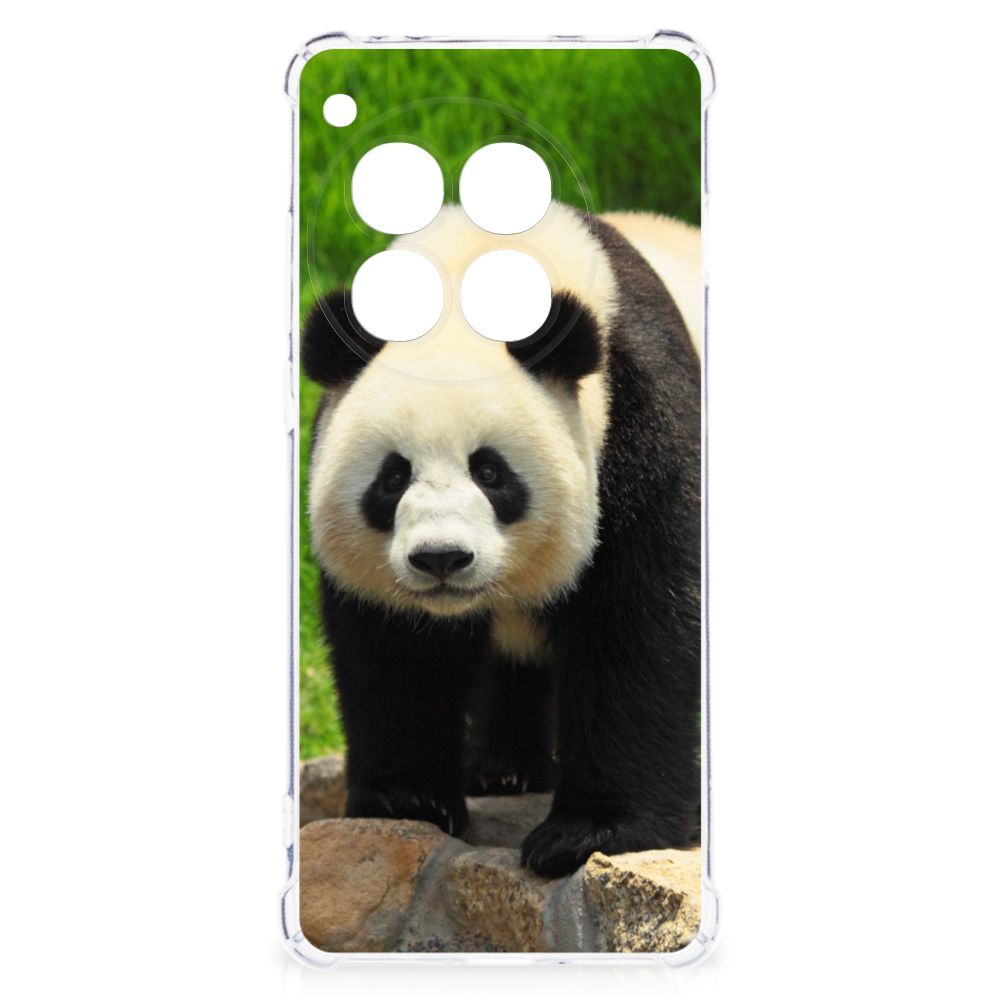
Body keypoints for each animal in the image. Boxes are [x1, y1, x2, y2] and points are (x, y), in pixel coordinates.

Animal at [302, 201, 701, 877]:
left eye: (490, 472)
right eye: (392, 477)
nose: (441, 558)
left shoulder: (640, 420)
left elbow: (639, 625)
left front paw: (588, 832)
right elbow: (395, 649)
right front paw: (408, 799)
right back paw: (504, 770)